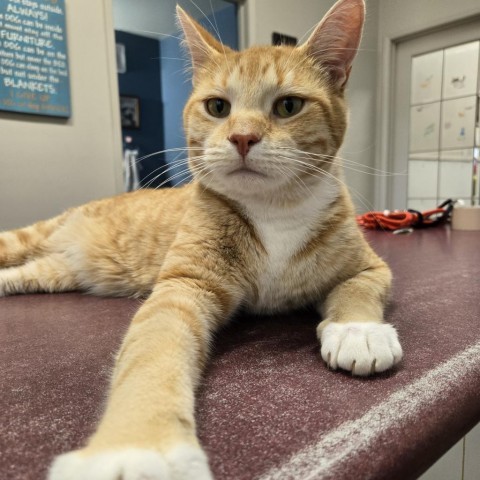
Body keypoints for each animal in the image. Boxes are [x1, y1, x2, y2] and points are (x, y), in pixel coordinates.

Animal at [0, 1, 402, 478]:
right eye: (217, 106)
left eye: (288, 105)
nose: (242, 137)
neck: (274, 210)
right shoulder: (183, 288)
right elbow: (152, 356)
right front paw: (138, 447)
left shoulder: (371, 267)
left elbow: (356, 290)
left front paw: (359, 331)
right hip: (29, 239)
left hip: (51, 272)